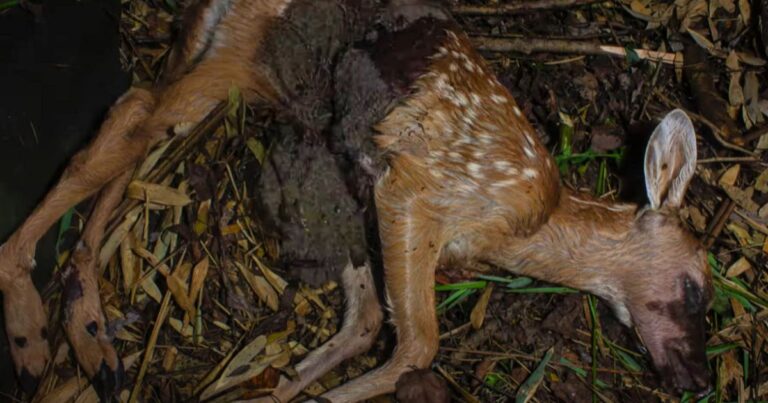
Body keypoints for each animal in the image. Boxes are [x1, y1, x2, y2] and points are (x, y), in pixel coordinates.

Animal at [0, 0, 713, 402]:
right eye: (698, 286)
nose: (699, 380)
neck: (520, 229)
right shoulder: (419, 186)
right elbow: (418, 344)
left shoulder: (360, 182)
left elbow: (367, 318)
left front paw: (280, 388)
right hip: (250, 59)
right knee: (129, 113)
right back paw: (28, 328)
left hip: (238, 63)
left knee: (136, 126)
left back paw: (88, 338)